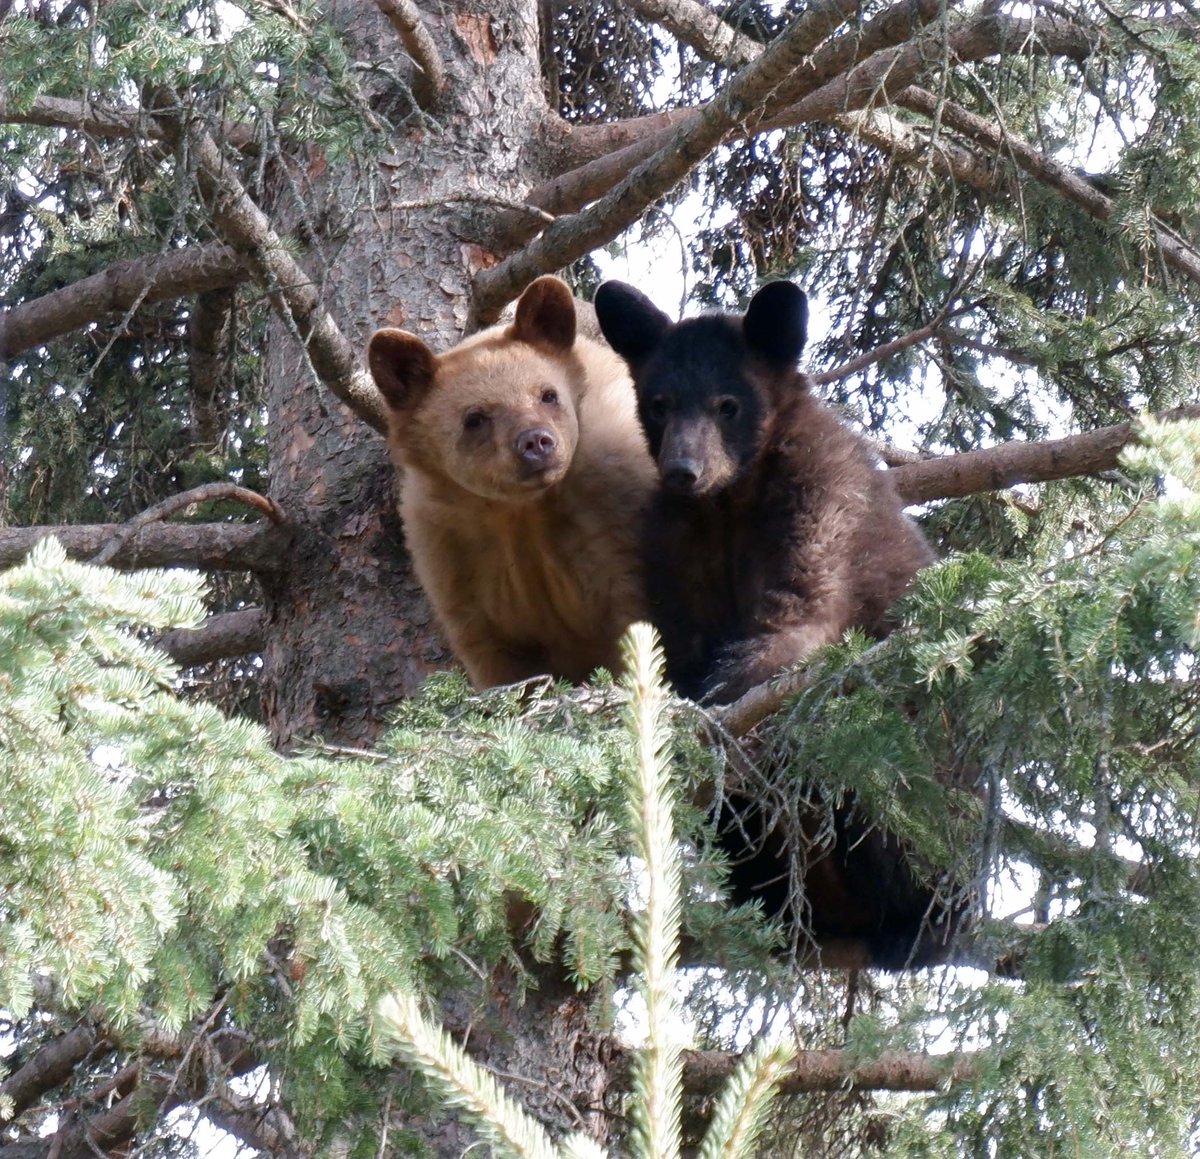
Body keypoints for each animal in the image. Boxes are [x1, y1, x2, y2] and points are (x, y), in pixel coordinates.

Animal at [367, 275, 656, 689]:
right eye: (474, 418)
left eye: (548, 394)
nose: (536, 442)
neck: (521, 511)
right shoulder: (455, 561)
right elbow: (496, 658)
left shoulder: (612, 511)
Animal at [594, 278, 957, 968]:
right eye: (659, 403)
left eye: (728, 404)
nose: (684, 470)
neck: (730, 505)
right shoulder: (674, 546)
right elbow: (677, 648)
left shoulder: (819, 498)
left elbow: (797, 622)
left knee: (891, 796)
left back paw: (915, 924)